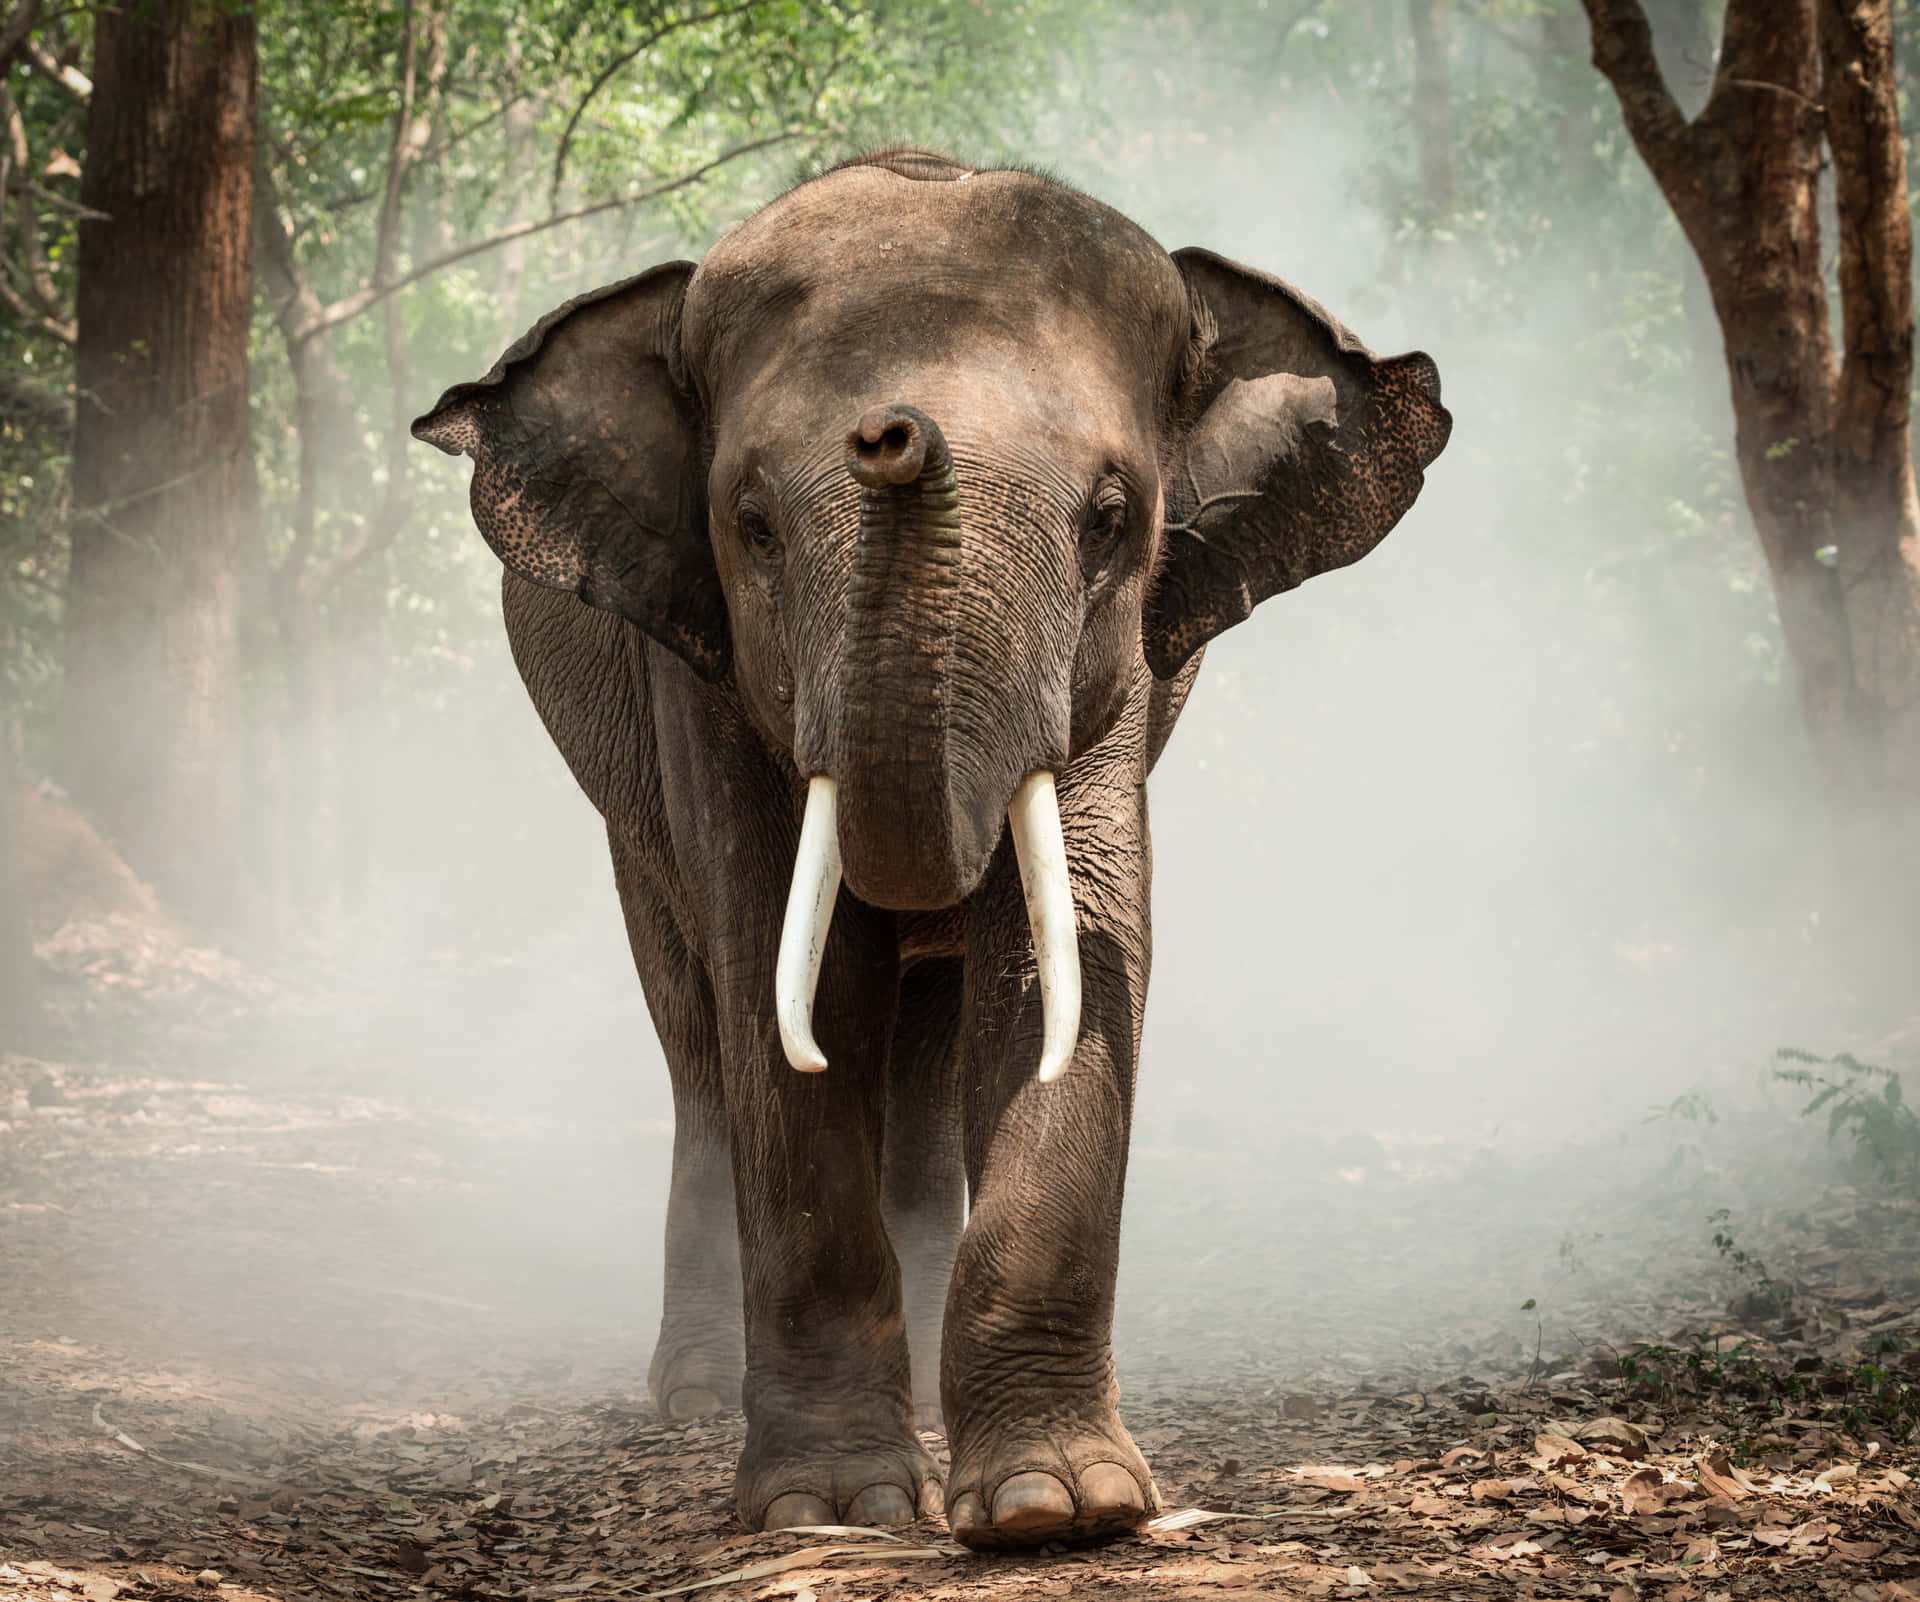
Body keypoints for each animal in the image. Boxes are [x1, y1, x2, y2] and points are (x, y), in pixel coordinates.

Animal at [413, 147, 1450, 1551]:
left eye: (1113, 518)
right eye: (752, 524)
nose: (892, 433)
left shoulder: (1121, 668)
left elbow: (1063, 956)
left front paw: (1056, 1509)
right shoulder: (699, 664)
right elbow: (786, 975)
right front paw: (830, 1507)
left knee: (922, 1028)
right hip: (621, 807)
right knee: (700, 1034)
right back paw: (701, 1397)